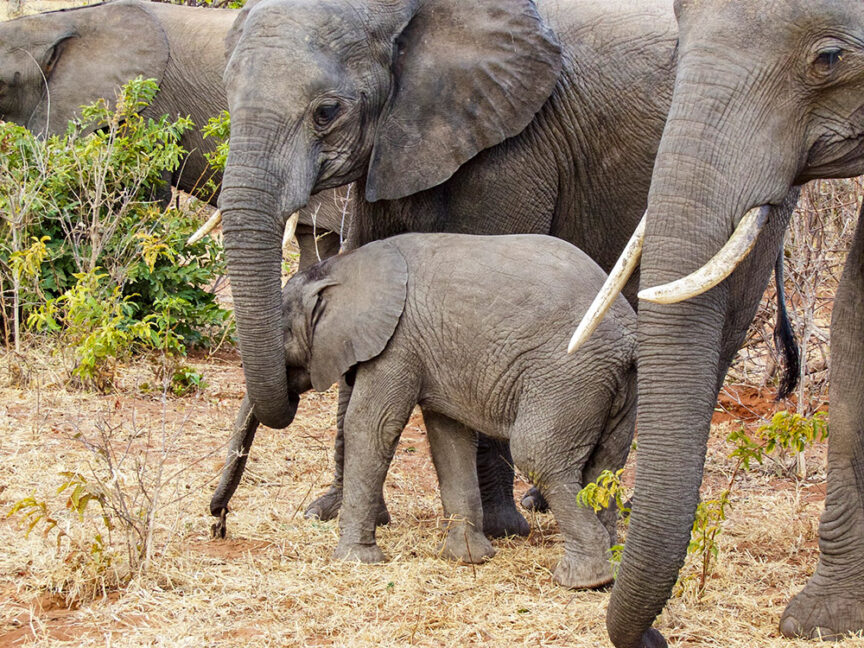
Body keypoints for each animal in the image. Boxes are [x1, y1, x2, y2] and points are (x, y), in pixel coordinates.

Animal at [210, 232, 638, 589]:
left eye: (282, 332)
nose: (219, 522)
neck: (342, 268)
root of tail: (627, 337)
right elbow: (449, 437)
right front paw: (467, 559)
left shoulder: (396, 342)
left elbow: (370, 426)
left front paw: (354, 561)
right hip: (613, 387)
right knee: (605, 466)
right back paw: (611, 570)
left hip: (568, 376)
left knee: (538, 455)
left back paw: (582, 581)